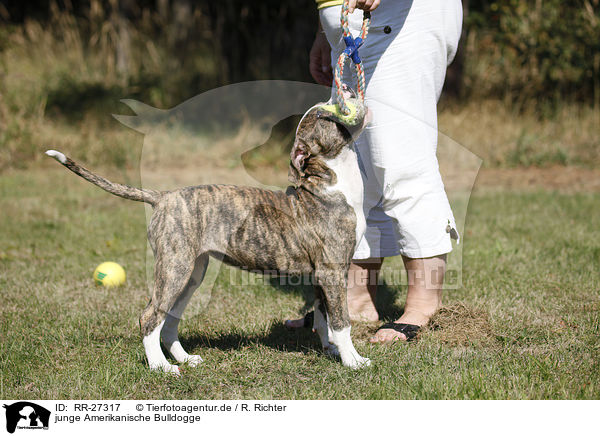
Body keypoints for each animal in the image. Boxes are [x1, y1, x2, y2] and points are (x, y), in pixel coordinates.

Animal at [45, 98, 370, 374]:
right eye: (324, 115)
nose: (343, 94)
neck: (331, 185)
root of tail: (162, 196)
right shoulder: (331, 271)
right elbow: (342, 321)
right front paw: (353, 361)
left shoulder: (320, 275)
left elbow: (324, 318)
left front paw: (332, 351)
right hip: (175, 267)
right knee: (150, 316)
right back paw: (160, 367)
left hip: (192, 272)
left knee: (169, 320)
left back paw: (185, 358)